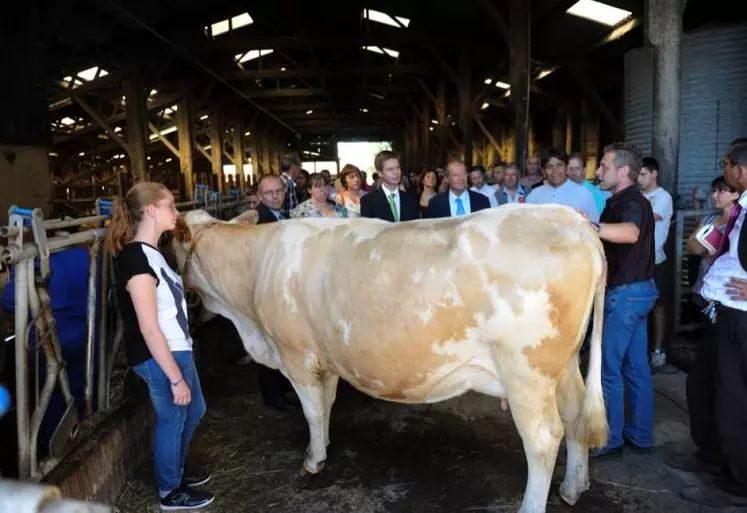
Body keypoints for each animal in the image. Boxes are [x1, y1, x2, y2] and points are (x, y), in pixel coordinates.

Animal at [169, 204, 608, 512]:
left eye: (170, 244)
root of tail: (571, 218)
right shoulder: (326, 357)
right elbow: (326, 405)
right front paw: (324, 445)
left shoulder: (296, 354)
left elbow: (311, 410)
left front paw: (312, 460)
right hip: (565, 364)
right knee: (575, 418)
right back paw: (573, 487)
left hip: (526, 373)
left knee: (543, 438)